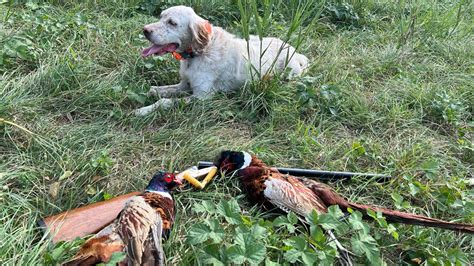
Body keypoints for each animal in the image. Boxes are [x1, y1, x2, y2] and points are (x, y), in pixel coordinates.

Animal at [135, 5, 310, 116]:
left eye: (172, 23)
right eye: (160, 17)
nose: (145, 30)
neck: (199, 53)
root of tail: (296, 52)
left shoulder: (203, 96)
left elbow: (165, 101)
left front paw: (143, 110)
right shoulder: (184, 84)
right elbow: (158, 90)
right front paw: (148, 93)